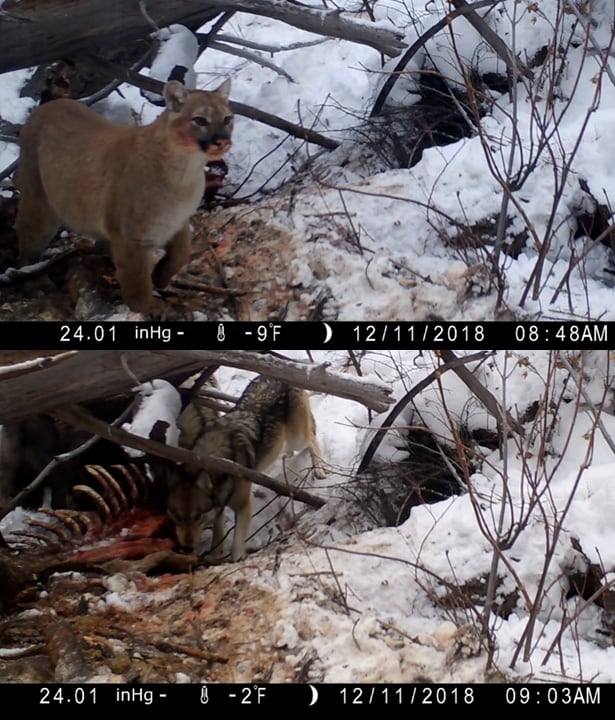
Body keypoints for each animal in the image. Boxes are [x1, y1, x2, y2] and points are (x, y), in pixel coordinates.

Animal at [164, 375, 326, 562]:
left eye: (197, 517)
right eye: (177, 517)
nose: (187, 548)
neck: (218, 458)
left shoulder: (243, 506)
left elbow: (236, 544)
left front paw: (237, 558)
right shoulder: (219, 503)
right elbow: (217, 533)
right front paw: (215, 554)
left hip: (297, 438)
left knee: (312, 439)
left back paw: (319, 468)